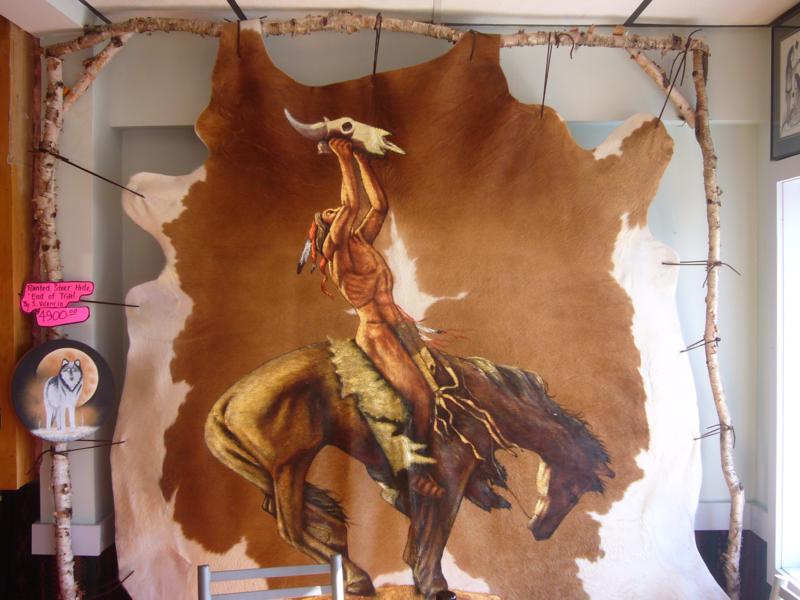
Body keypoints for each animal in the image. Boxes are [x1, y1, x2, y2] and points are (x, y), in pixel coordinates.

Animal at [204, 339, 614, 599]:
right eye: (575, 489)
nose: (541, 531)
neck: (478, 403)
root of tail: (226, 403)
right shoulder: (450, 477)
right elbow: (438, 529)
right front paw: (434, 585)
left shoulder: (415, 481)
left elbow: (420, 526)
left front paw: (418, 573)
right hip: (292, 466)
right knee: (290, 530)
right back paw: (356, 579)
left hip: (279, 474)